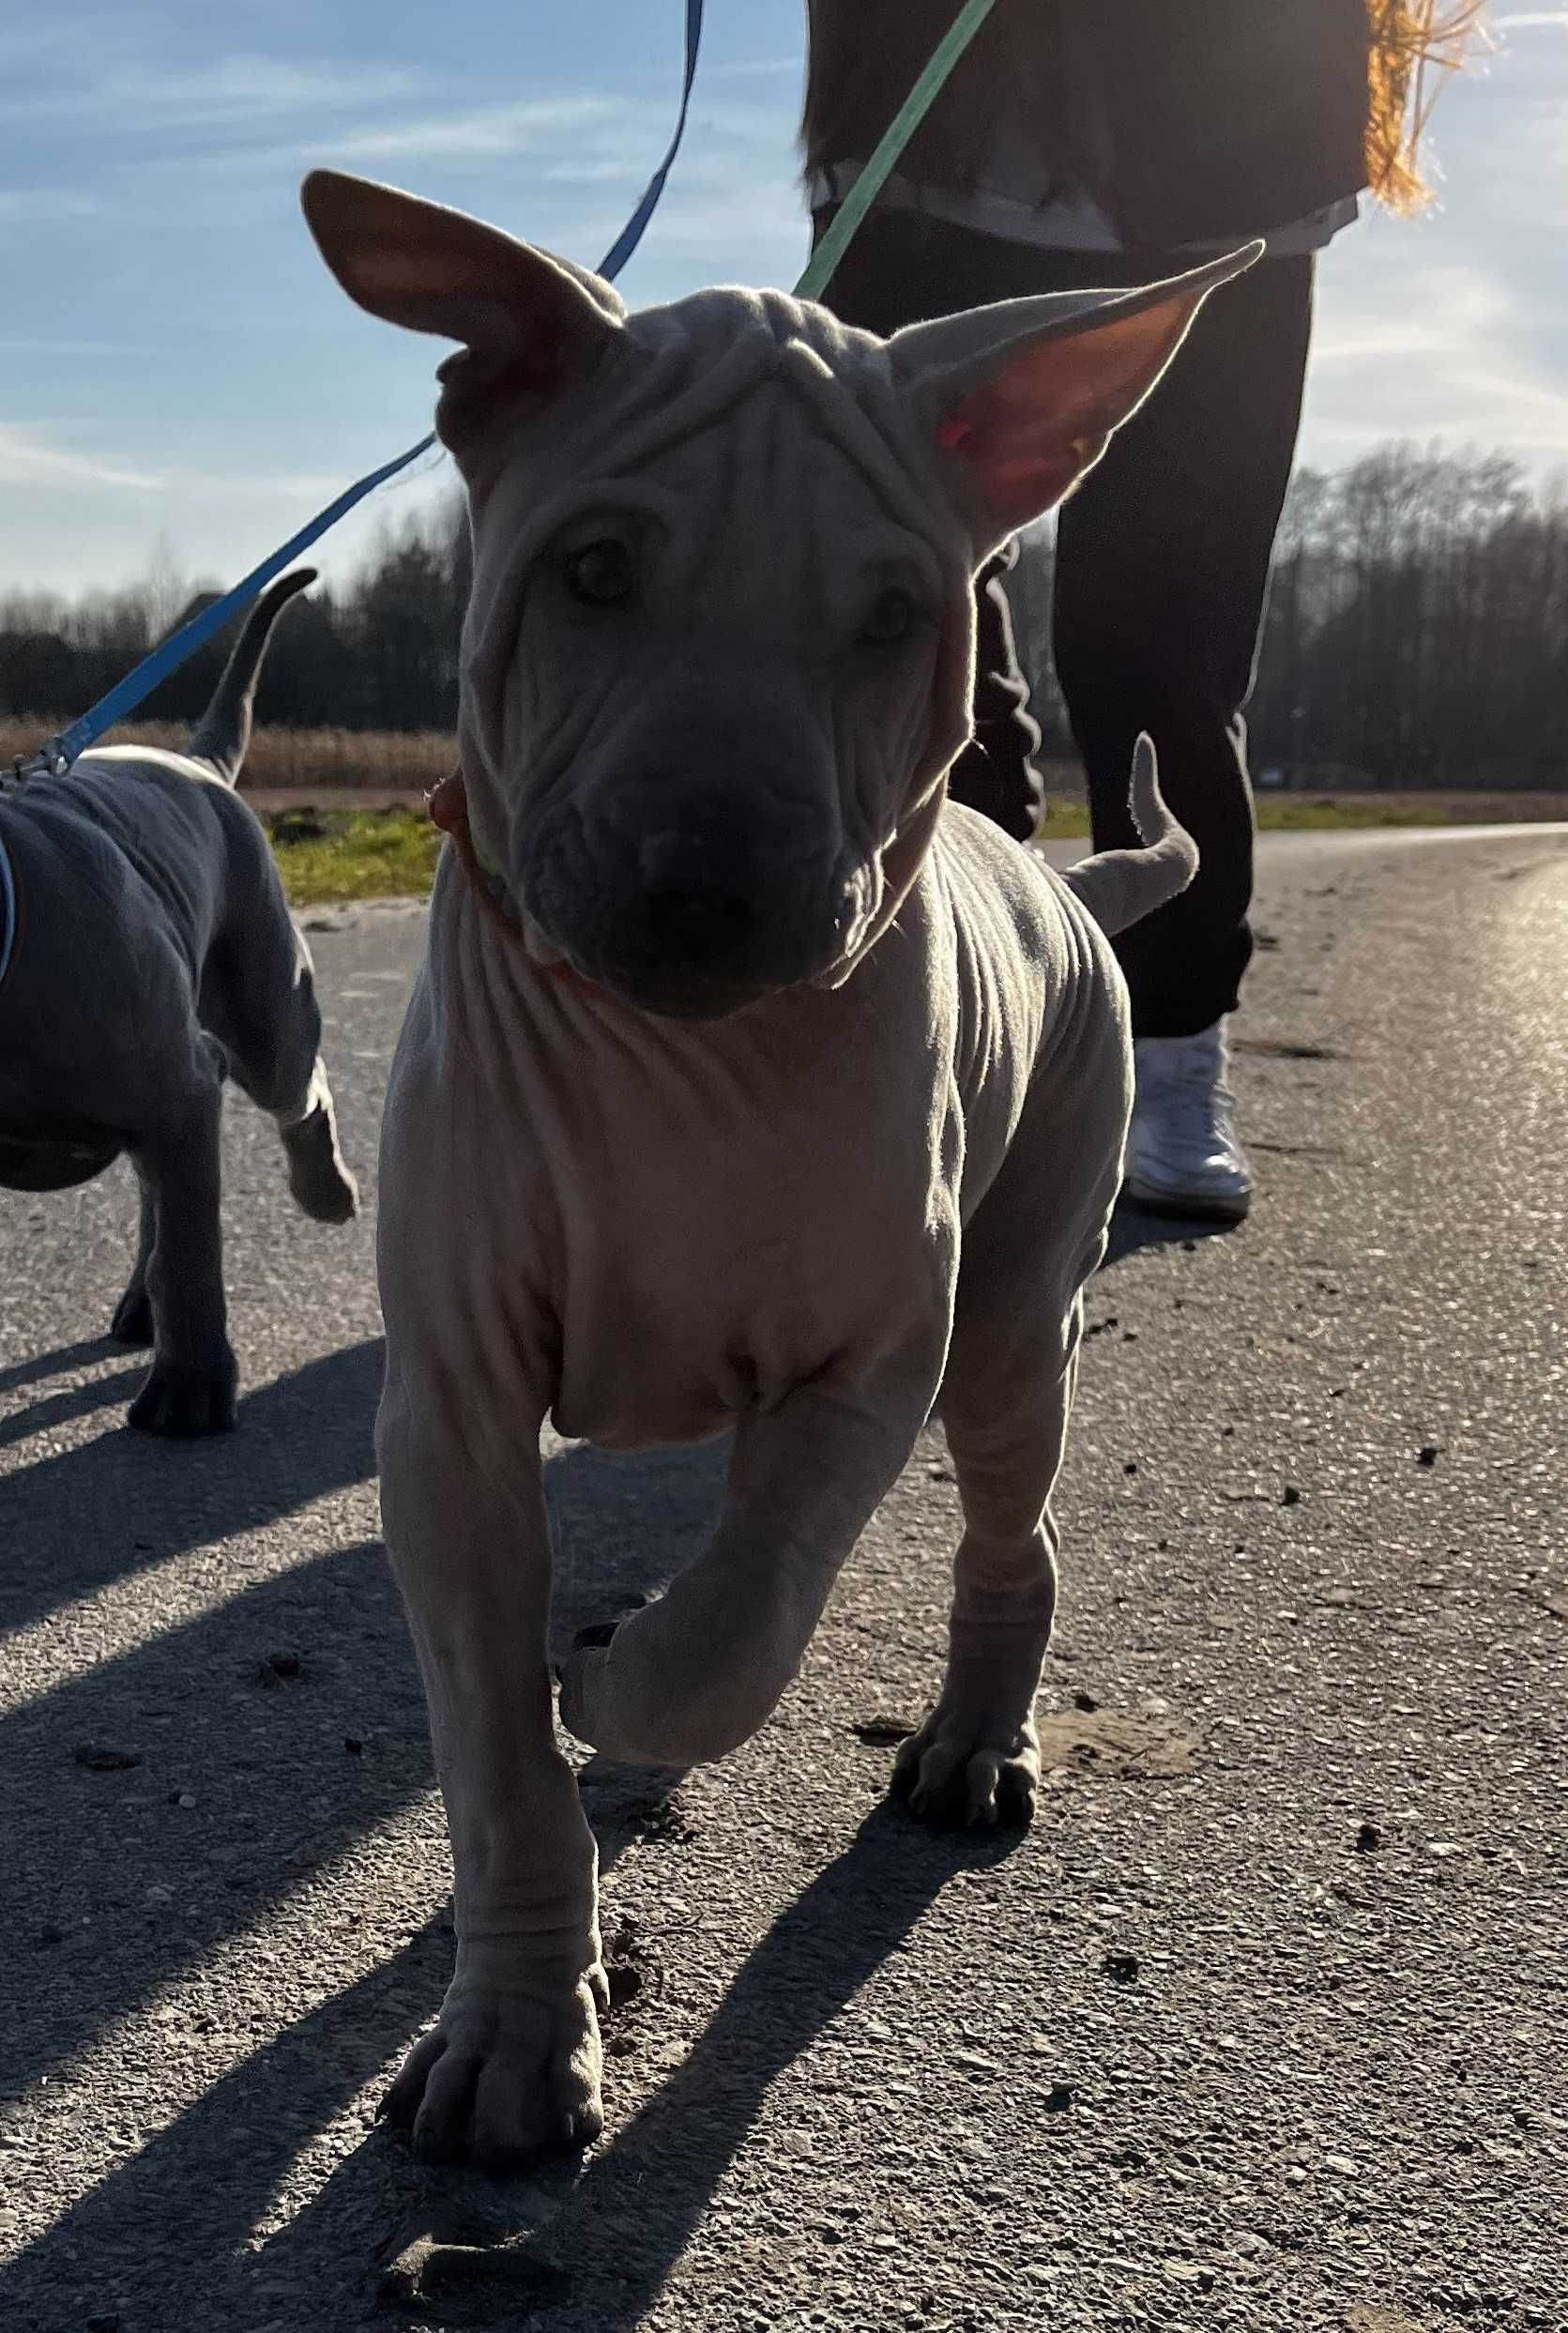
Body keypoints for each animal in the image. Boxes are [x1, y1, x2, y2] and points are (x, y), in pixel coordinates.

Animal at [0, 573, 354, 1427]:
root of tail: (196, 763)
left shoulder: (178, 1089)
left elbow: (192, 1255)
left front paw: (189, 1394)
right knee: (157, 1187)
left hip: (261, 1009)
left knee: (299, 1093)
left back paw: (326, 1192)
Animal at [300, 169, 1259, 2165]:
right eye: (593, 572)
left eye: (896, 615)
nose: (708, 887)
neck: (676, 1065)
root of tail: (1061, 877)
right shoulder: (447, 1408)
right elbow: (493, 1745)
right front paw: (521, 2023)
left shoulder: (864, 1365)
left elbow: (735, 1632)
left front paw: (621, 1683)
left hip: (1014, 1317)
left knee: (1009, 1531)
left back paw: (969, 1742)